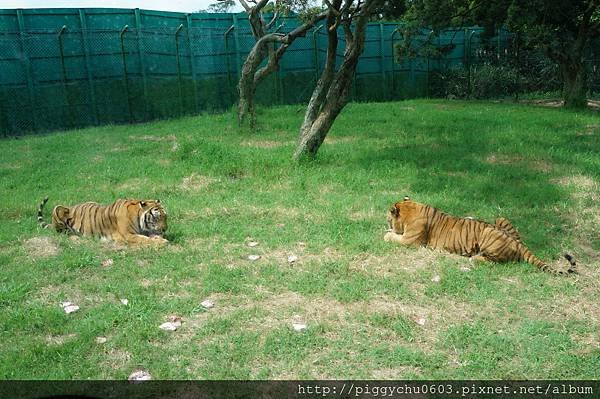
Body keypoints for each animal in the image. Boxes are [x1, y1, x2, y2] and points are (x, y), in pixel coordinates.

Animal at [37, 198, 169, 247]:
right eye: (157, 217)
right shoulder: (127, 235)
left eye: (165, 217)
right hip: (58, 209)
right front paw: (163, 242)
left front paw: (160, 238)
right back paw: (76, 237)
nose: (165, 229)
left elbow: (150, 236)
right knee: (62, 233)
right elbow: (144, 239)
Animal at [384, 198, 576, 278]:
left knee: (495, 261)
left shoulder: (410, 241)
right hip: (500, 218)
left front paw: (386, 233)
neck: (411, 207)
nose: (386, 222)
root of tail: (518, 243)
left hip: (488, 237)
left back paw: (474, 259)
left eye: (388, 218)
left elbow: (392, 237)